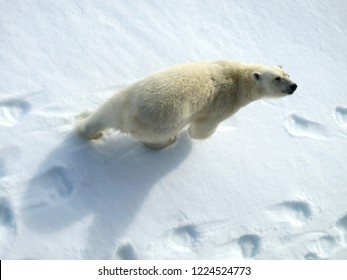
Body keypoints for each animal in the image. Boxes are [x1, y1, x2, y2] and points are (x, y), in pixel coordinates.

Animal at [77, 60, 298, 150]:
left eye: (287, 74)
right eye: (277, 78)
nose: (294, 86)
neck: (238, 77)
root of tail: (128, 114)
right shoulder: (223, 105)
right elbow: (202, 130)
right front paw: (192, 134)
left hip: (128, 93)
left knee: (104, 112)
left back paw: (86, 128)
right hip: (161, 122)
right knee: (157, 137)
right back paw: (168, 142)